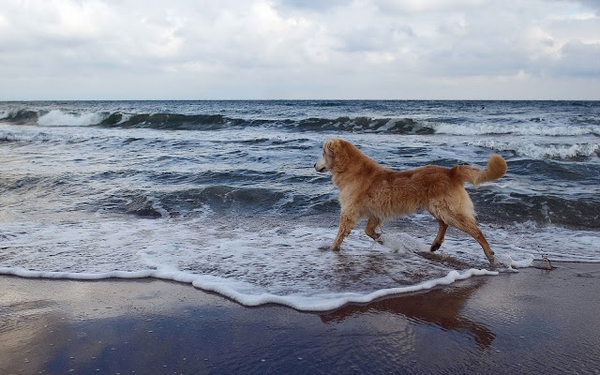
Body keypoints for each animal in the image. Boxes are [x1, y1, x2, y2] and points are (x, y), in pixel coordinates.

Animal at [314, 137, 506, 264]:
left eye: (323, 153)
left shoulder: (349, 212)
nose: (313, 165)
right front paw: (382, 240)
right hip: (436, 207)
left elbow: (341, 234)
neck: (351, 170)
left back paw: (489, 253)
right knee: (443, 224)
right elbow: (369, 231)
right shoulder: (375, 213)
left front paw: (332, 248)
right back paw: (435, 244)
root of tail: (451, 171)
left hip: (449, 210)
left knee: (475, 230)